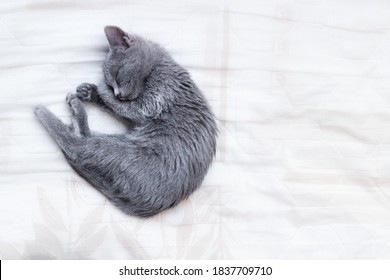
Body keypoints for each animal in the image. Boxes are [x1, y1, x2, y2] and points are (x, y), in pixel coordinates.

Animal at [33, 25, 216, 218]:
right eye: (111, 81)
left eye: (117, 74)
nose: (118, 93)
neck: (155, 69)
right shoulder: (135, 115)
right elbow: (121, 109)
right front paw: (90, 92)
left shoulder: (154, 99)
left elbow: (124, 107)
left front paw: (99, 90)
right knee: (81, 138)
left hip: (119, 151)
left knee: (76, 145)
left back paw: (50, 109)